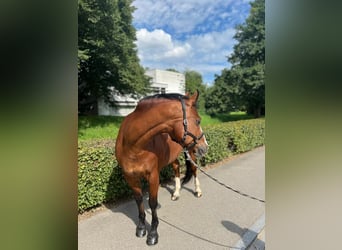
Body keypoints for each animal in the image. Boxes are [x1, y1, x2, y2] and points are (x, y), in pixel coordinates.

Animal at [116, 91, 208, 245]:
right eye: (198, 121)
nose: (205, 147)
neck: (133, 146)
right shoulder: (130, 177)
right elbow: (139, 200)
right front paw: (141, 228)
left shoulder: (153, 176)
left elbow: (152, 203)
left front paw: (153, 234)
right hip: (176, 155)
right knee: (177, 168)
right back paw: (176, 193)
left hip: (191, 152)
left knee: (194, 171)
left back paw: (198, 191)